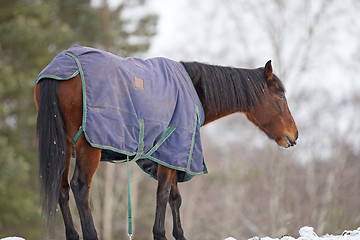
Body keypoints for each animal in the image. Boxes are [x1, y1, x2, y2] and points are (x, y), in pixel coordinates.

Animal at [33, 47, 298, 239]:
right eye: (280, 95)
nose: (294, 135)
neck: (194, 90)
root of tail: (64, 64)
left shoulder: (172, 156)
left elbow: (174, 197)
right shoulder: (172, 151)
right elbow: (163, 194)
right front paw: (160, 234)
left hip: (64, 145)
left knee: (62, 188)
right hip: (88, 147)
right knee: (80, 187)